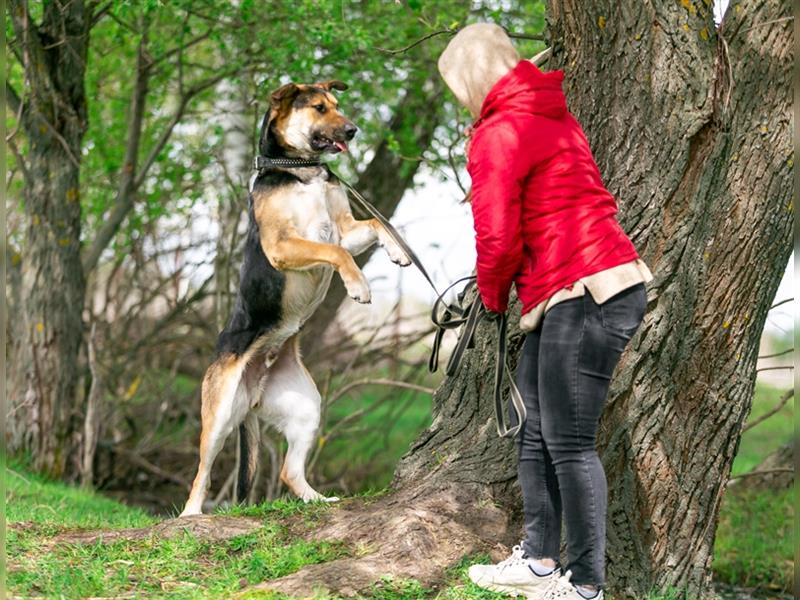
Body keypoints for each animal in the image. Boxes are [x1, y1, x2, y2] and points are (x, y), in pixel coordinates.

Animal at [182, 79, 412, 516]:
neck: (302, 171)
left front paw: (397, 251)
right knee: (201, 472)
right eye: (320, 108)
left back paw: (319, 500)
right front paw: (359, 286)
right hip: (219, 414)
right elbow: (336, 254)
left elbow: (377, 224)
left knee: (289, 473)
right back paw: (190, 514)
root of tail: (254, 390)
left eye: (337, 104)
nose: (353, 130)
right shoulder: (284, 245)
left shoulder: (345, 228)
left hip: (306, 407)